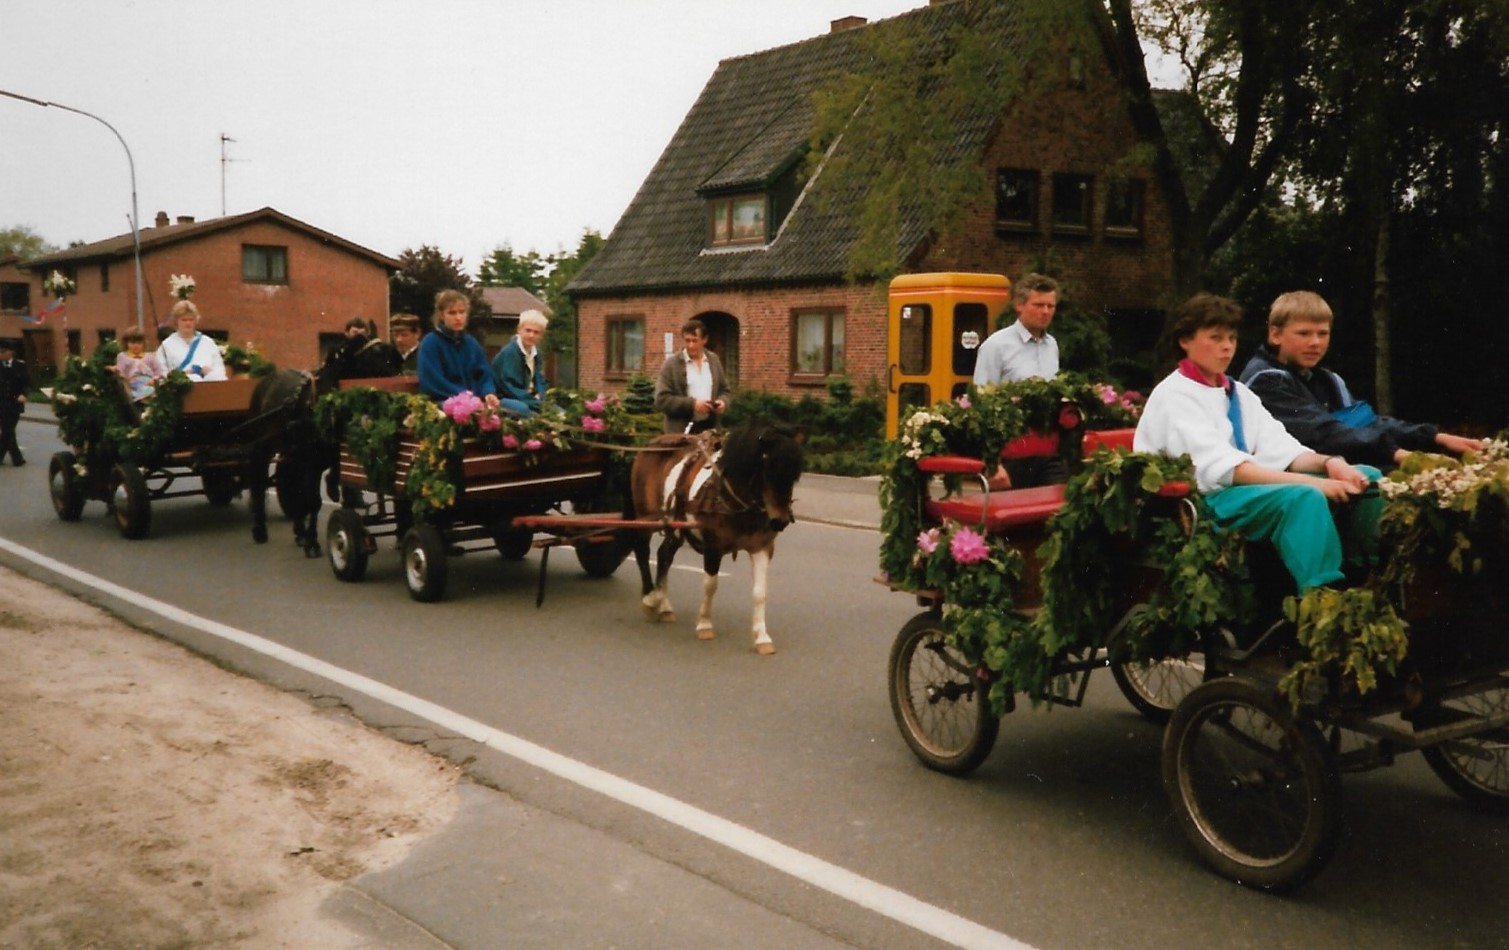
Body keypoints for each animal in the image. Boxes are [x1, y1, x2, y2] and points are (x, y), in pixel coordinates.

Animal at [627, 428, 808, 657]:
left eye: (795, 475)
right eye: (766, 471)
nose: (780, 521)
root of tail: (654, 442)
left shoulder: (762, 548)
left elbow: (760, 593)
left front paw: (761, 636)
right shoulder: (713, 547)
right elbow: (710, 585)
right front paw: (704, 624)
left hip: (677, 525)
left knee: (664, 555)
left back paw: (664, 603)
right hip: (646, 517)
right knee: (642, 551)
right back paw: (650, 597)